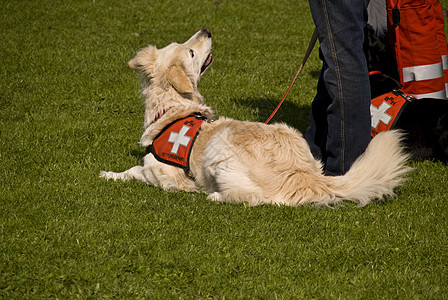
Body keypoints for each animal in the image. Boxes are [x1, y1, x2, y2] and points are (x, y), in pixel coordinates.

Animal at [101, 28, 412, 206]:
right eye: (189, 50)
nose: (206, 29)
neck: (171, 110)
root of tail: (307, 175)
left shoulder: (165, 177)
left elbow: (137, 171)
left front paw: (112, 175)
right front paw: (110, 174)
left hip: (221, 147)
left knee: (260, 199)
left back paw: (215, 196)